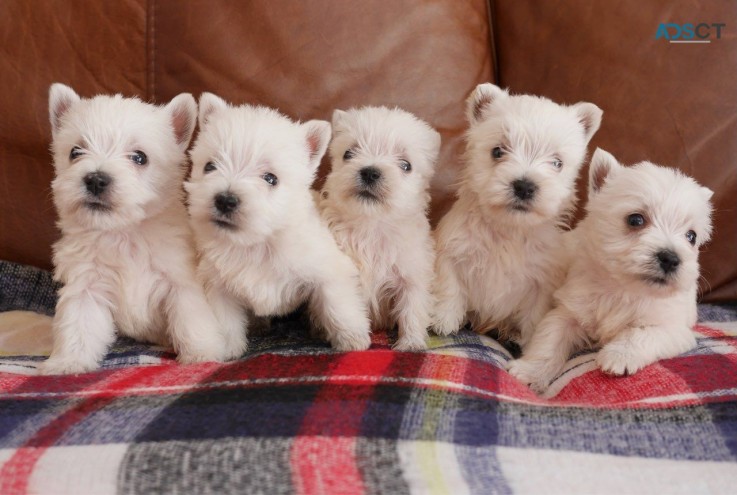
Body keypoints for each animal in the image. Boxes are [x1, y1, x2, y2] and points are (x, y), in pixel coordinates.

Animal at [42, 84, 227, 376]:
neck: (124, 232)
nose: (95, 179)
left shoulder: (180, 283)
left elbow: (192, 320)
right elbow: (78, 325)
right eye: (75, 152)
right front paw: (67, 363)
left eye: (140, 158)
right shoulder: (86, 286)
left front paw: (202, 353)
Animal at [184, 94, 368, 352]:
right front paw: (228, 350)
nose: (225, 200)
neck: (256, 243)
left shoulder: (329, 271)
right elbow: (226, 323)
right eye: (209, 166)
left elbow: (338, 305)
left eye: (271, 178)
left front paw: (353, 340)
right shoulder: (218, 287)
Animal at [320, 106, 440, 350]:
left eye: (406, 165)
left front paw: (411, 344)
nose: (370, 172)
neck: (371, 224)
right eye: (348, 153)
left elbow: (412, 309)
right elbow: (343, 307)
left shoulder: (412, 275)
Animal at [432, 84, 600, 348]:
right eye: (497, 151)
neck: (508, 229)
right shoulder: (452, 250)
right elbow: (449, 285)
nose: (524, 186)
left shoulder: (542, 282)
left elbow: (534, 315)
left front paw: (527, 340)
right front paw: (444, 320)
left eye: (557, 163)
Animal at [506, 149, 712, 394]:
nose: (671, 259)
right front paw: (529, 372)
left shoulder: (674, 328)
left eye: (691, 236)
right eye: (636, 219)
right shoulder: (568, 312)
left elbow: (643, 333)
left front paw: (619, 356)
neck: (621, 288)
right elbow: (549, 340)